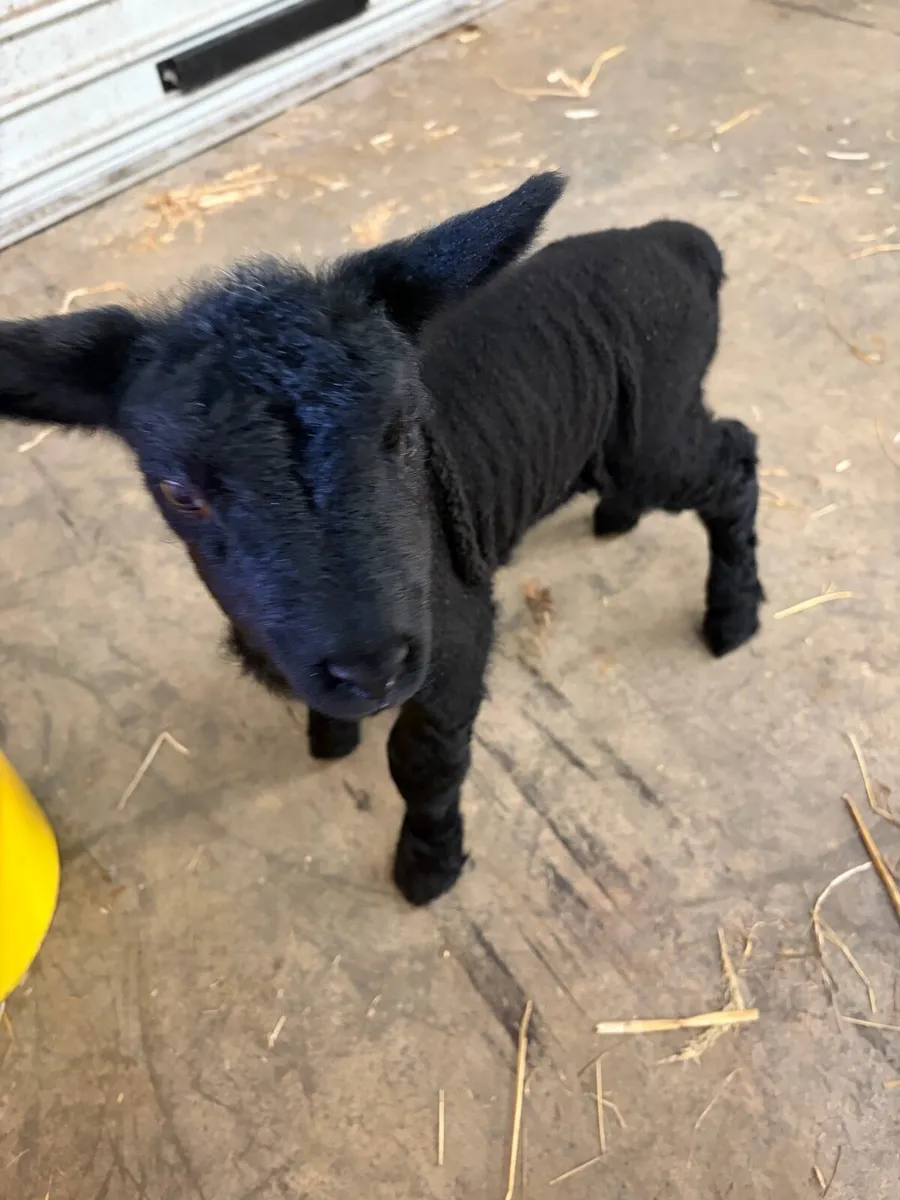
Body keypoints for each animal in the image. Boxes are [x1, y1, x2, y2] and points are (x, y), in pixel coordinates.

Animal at [0, 172, 763, 906]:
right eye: (180, 492)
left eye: (403, 434)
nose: (370, 669)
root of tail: (680, 241)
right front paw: (332, 734)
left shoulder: (454, 632)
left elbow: (424, 762)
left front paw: (428, 865)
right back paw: (619, 517)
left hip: (654, 431)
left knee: (735, 459)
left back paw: (734, 615)